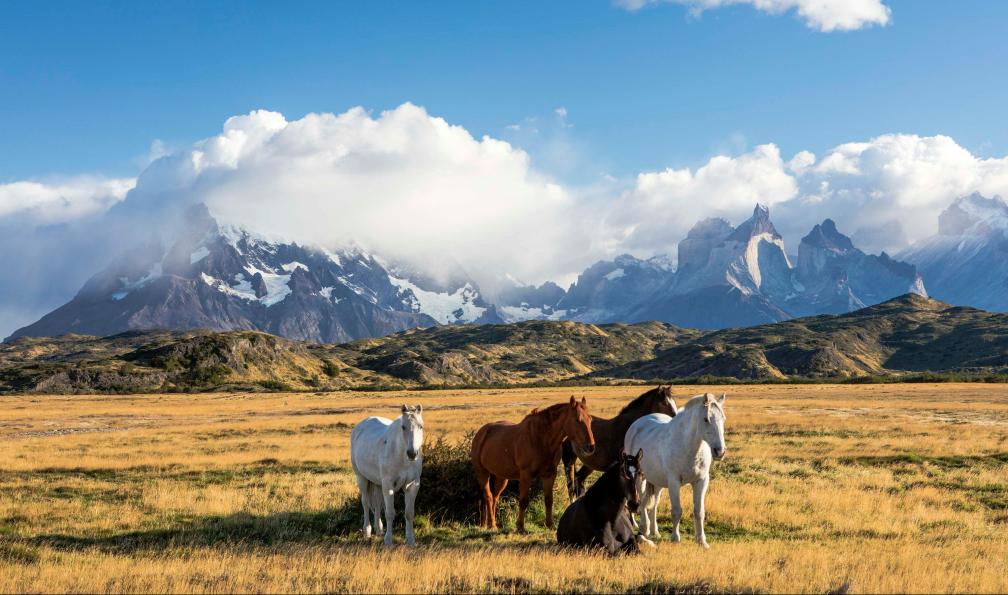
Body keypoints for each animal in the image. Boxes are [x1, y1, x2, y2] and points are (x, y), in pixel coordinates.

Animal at [350, 404, 425, 547]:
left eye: (421, 426)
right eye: (403, 427)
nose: (412, 454)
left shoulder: (413, 485)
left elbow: (409, 513)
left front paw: (411, 540)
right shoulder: (388, 485)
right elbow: (390, 513)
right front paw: (388, 540)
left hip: (378, 483)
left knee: (377, 503)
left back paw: (379, 529)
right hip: (362, 478)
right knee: (365, 503)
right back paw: (367, 531)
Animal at [471, 396, 595, 533]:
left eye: (590, 419)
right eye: (577, 420)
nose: (590, 447)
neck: (541, 439)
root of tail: (481, 433)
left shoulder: (549, 474)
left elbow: (548, 499)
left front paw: (550, 525)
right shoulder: (526, 475)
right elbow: (523, 501)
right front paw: (520, 527)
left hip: (501, 477)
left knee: (494, 497)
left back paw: (488, 524)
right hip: (482, 473)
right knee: (488, 496)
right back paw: (492, 525)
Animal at [623, 393, 726, 548]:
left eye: (723, 419)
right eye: (706, 419)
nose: (720, 451)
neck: (689, 447)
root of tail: (638, 423)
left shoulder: (701, 481)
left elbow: (699, 511)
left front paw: (701, 541)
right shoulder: (674, 482)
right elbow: (677, 511)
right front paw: (675, 539)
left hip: (657, 481)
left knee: (654, 503)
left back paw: (655, 531)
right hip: (640, 478)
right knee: (642, 500)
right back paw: (644, 527)